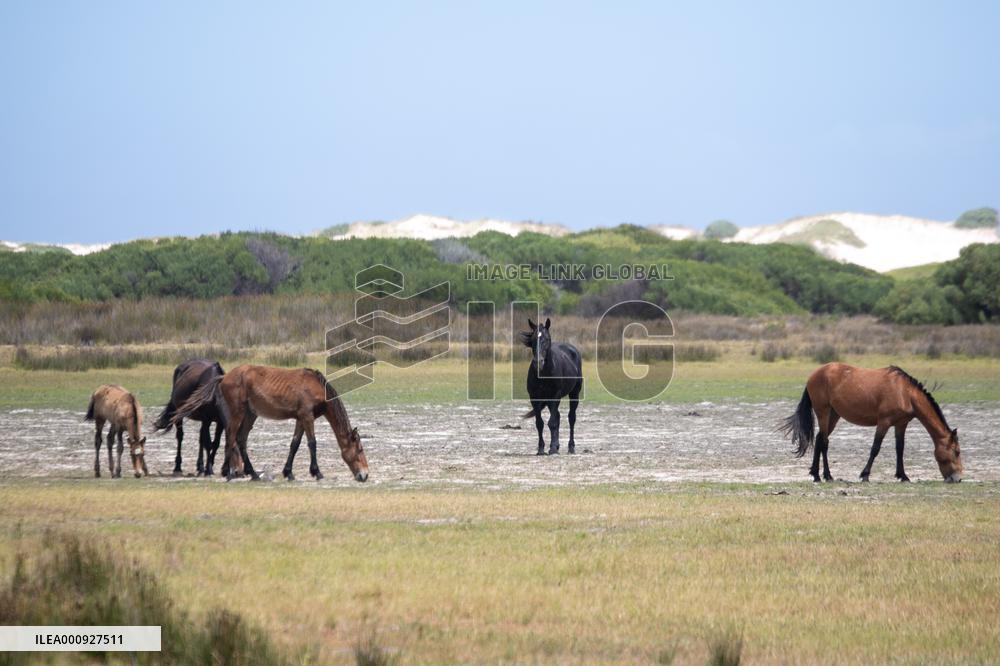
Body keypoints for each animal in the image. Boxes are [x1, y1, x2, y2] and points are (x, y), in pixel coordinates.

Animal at [171, 364, 368, 482]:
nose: (365, 475)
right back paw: (229, 473)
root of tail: (224, 377)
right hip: (238, 413)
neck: (316, 387)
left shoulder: (300, 419)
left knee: (241, 439)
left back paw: (252, 473)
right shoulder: (307, 416)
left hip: (250, 415)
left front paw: (288, 472)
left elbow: (295, 444)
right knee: (231, 438)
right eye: (359, 449)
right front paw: (317, 472)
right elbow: (312, 443)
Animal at [519, 318, 583, 455]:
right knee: (557, 416)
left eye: (547, 339)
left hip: (574, 394)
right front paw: (541, 449)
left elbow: (552, 422)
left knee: (571, 418)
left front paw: (552, 449)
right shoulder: (535, 398)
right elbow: (540, 423)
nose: (538, 362)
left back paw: (571, 447)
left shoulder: (555, 396)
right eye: (532, 339)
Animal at [781, 363, 963, 483]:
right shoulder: (884, 422)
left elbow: (900, 449)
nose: (958, 478)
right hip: (823, 412)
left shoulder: (901, 424)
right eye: (957, 451)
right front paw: (865, 475)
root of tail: (814, 375)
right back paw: (827, 475)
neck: (905, 393)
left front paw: (903, 476)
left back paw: (816, 475)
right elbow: (875, 448)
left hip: (834, 415)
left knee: (819, 439)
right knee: (824, 442)